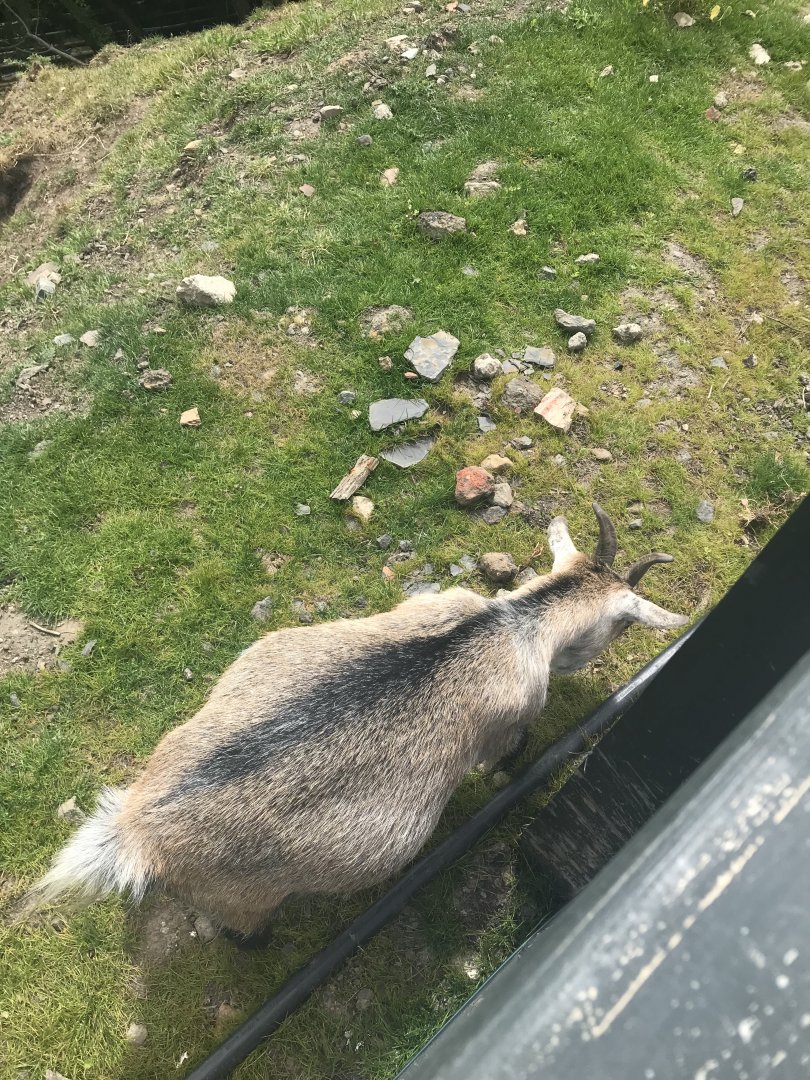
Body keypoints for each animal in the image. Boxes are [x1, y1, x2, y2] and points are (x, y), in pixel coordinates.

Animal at [23, 504, 687, 944]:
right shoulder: (514, 716)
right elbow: (509, 753)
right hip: (243, 897)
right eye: (621, 624)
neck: (514, 624)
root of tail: (139, 829)